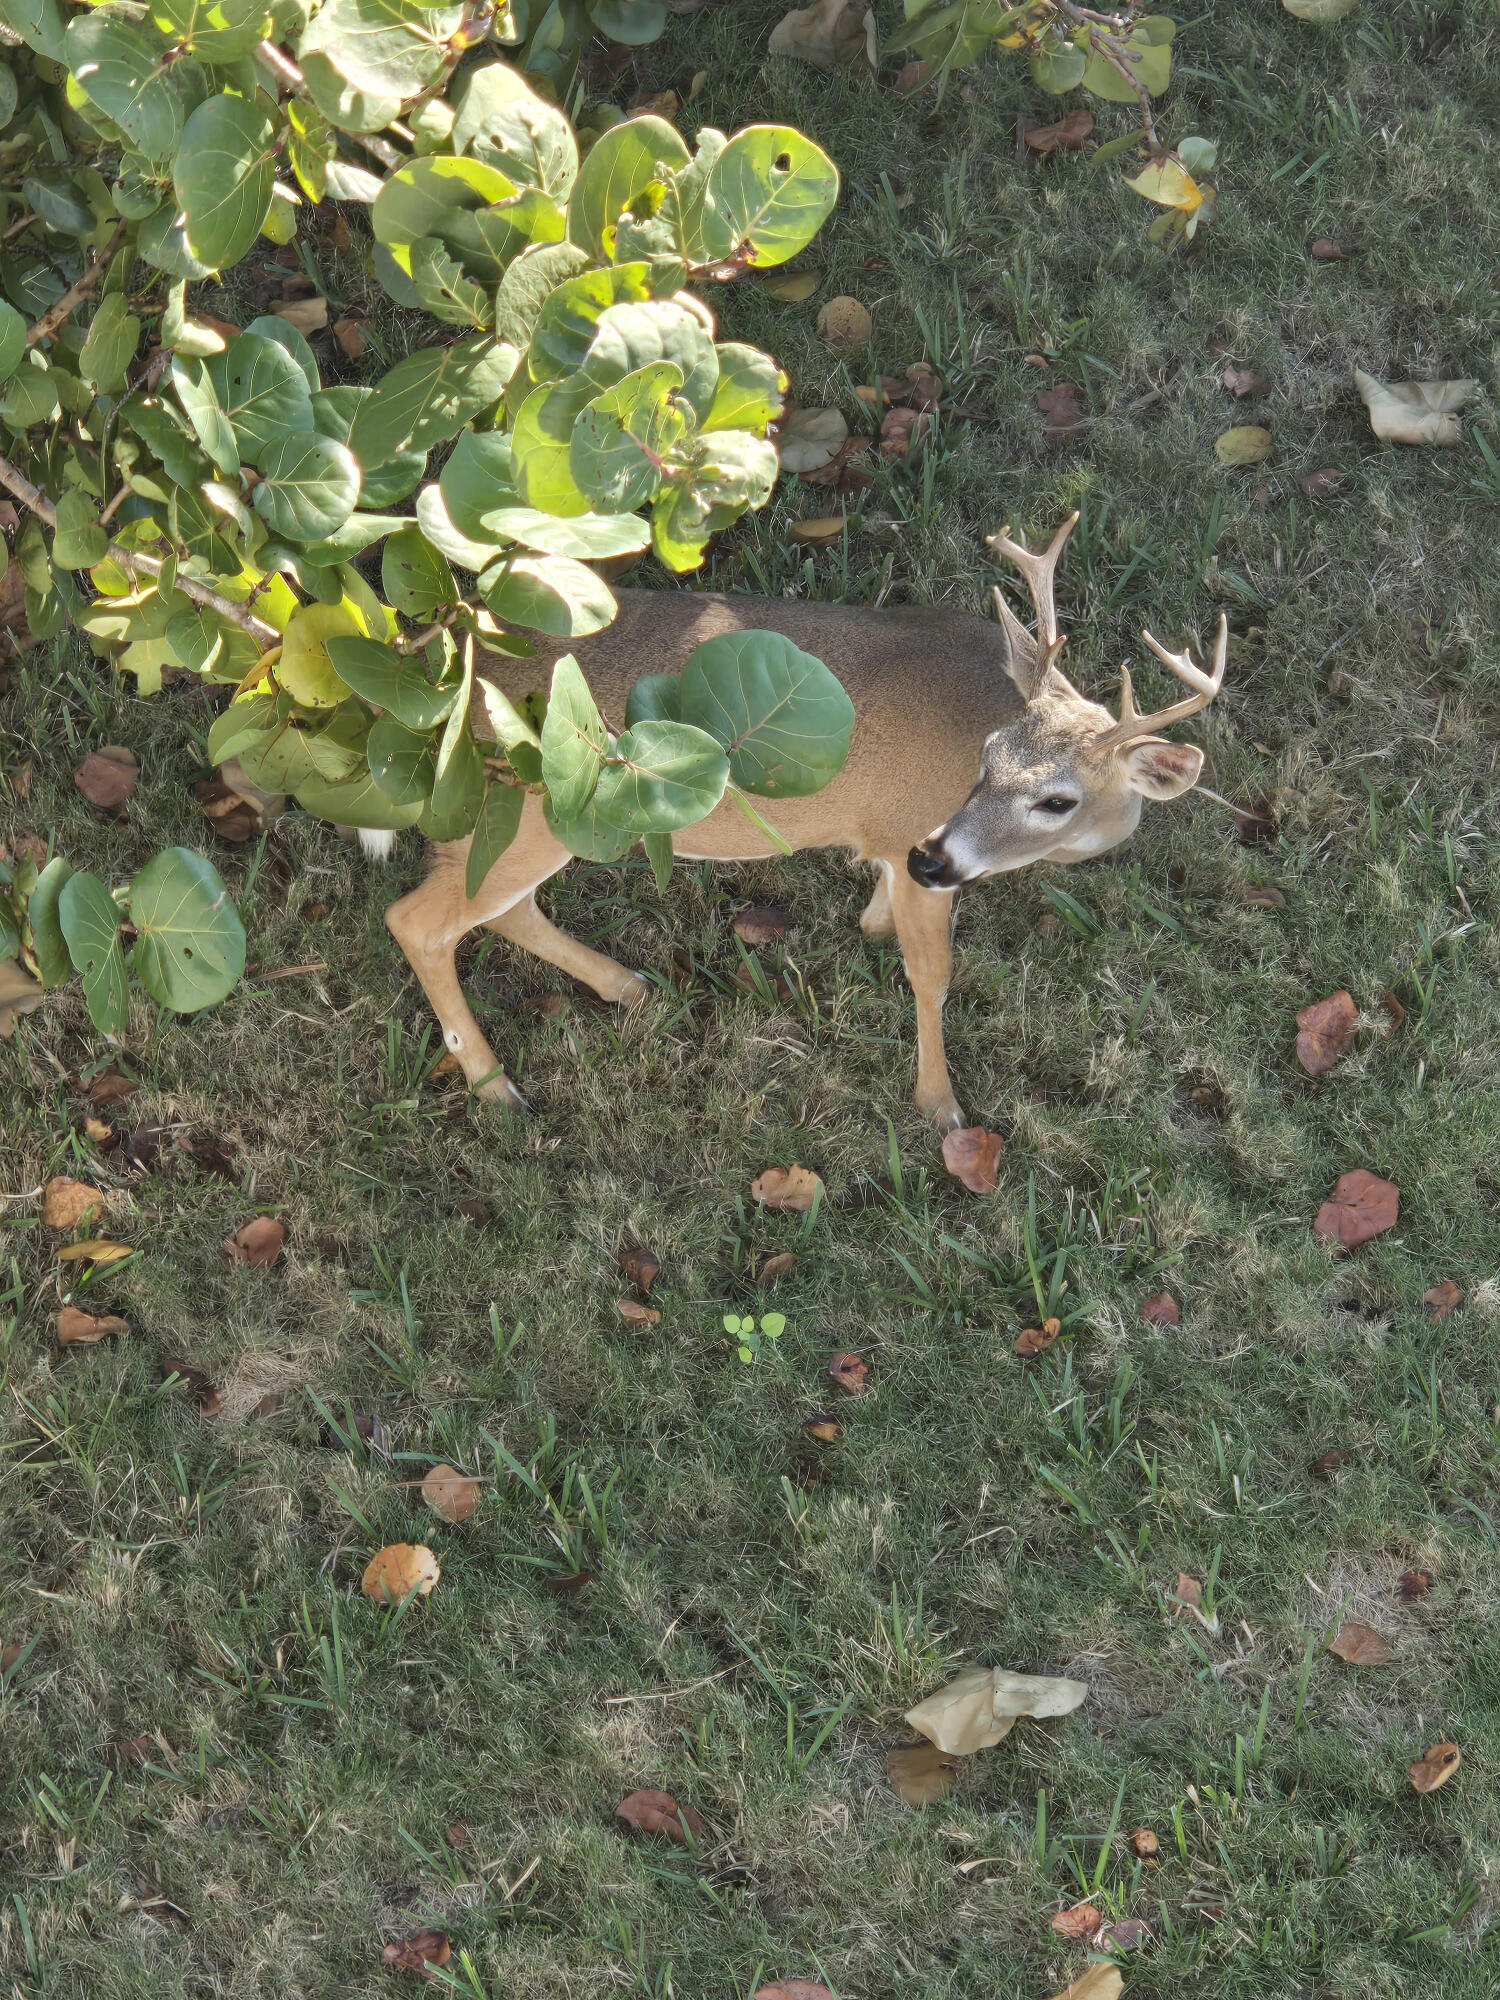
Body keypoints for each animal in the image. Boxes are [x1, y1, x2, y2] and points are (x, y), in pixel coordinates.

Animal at [380, 513, 1226, 1129]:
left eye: (1057, 799)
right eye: (986, 756)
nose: (932, 860)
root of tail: (456, 674)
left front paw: (874, 921)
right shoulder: (907, 828)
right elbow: (932, 974)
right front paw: (941, 1106)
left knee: (500, 909)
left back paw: (628, 987)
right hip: (525, 806)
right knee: (419, 919)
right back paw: (499, 1089)